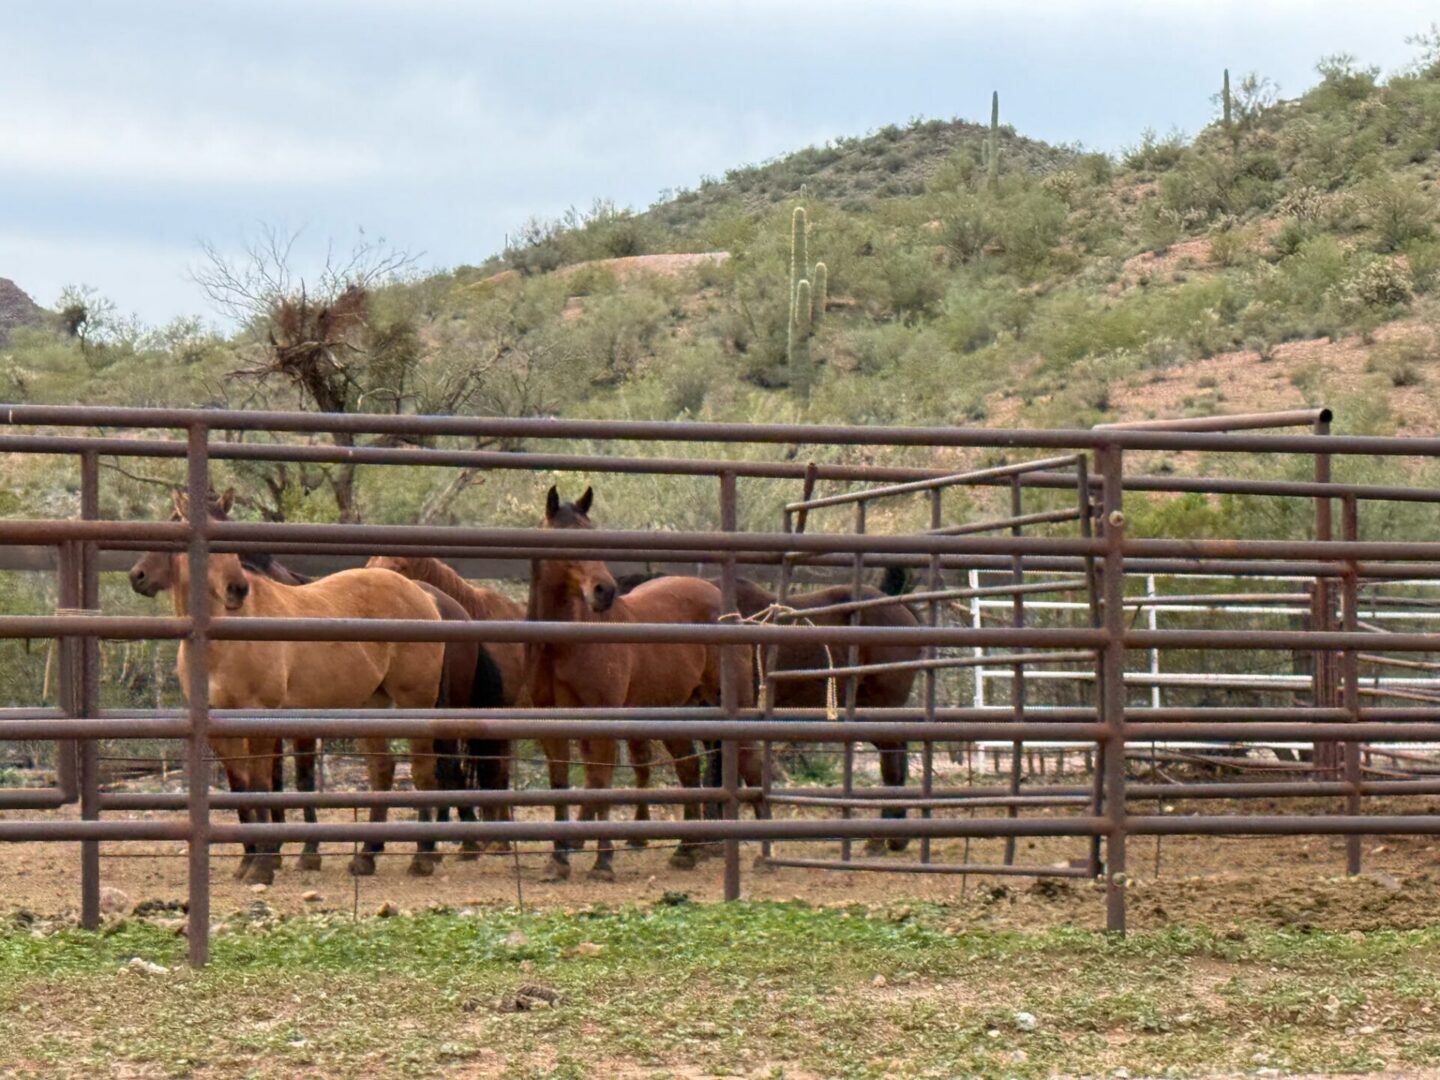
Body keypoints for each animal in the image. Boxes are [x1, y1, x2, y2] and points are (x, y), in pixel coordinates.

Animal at [130, 490, 512, 875]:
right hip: (372, 703)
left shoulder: (262, 717)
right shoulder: (220, 725)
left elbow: (266, 783)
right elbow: (242, 787)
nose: (137, 575)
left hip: (415, 702)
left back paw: (425, 854)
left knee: (425, 769)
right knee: (383, 769)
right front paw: (250, 859)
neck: (219, 636)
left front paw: (267, 863)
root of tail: (428, 598)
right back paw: (367, 855)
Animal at [527, 485, 761, 881]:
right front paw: (558, 859)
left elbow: (600, 784)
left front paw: (603, 862)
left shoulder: (602, 720)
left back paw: (762, 847)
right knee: (689, 770)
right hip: (677, 711)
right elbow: (561, 783)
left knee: (749, 761)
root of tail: (722, 602)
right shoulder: (551, 723)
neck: (565, 643)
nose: (604, 591)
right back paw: (687, 850)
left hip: (732, 704)